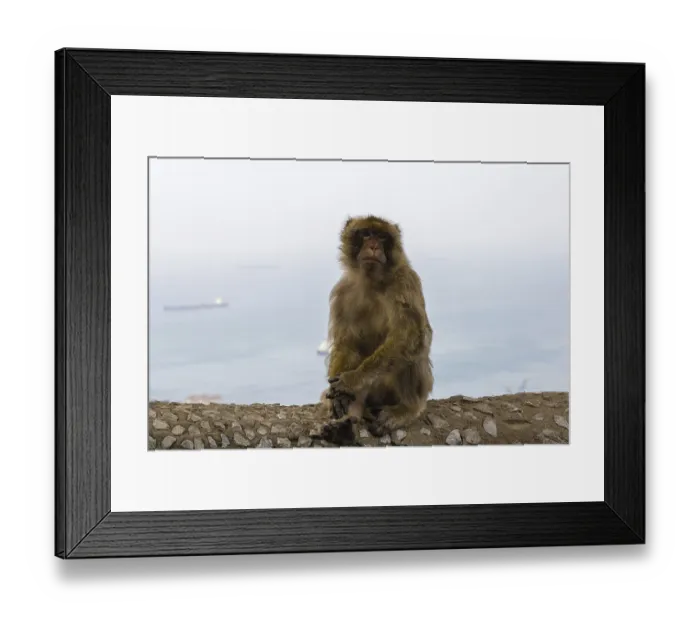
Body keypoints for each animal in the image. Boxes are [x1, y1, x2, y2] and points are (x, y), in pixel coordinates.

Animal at [316, 215, 434, 446]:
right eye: (365, 234)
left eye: (382, 236)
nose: (373, 246)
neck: (372, 281)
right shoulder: (343, 292)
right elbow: (347, 344)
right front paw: (339, 399)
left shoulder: (405, 280)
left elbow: (411, 335)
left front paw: (352, 380)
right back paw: (346, 422)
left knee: (413, 348)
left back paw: (407, 408)